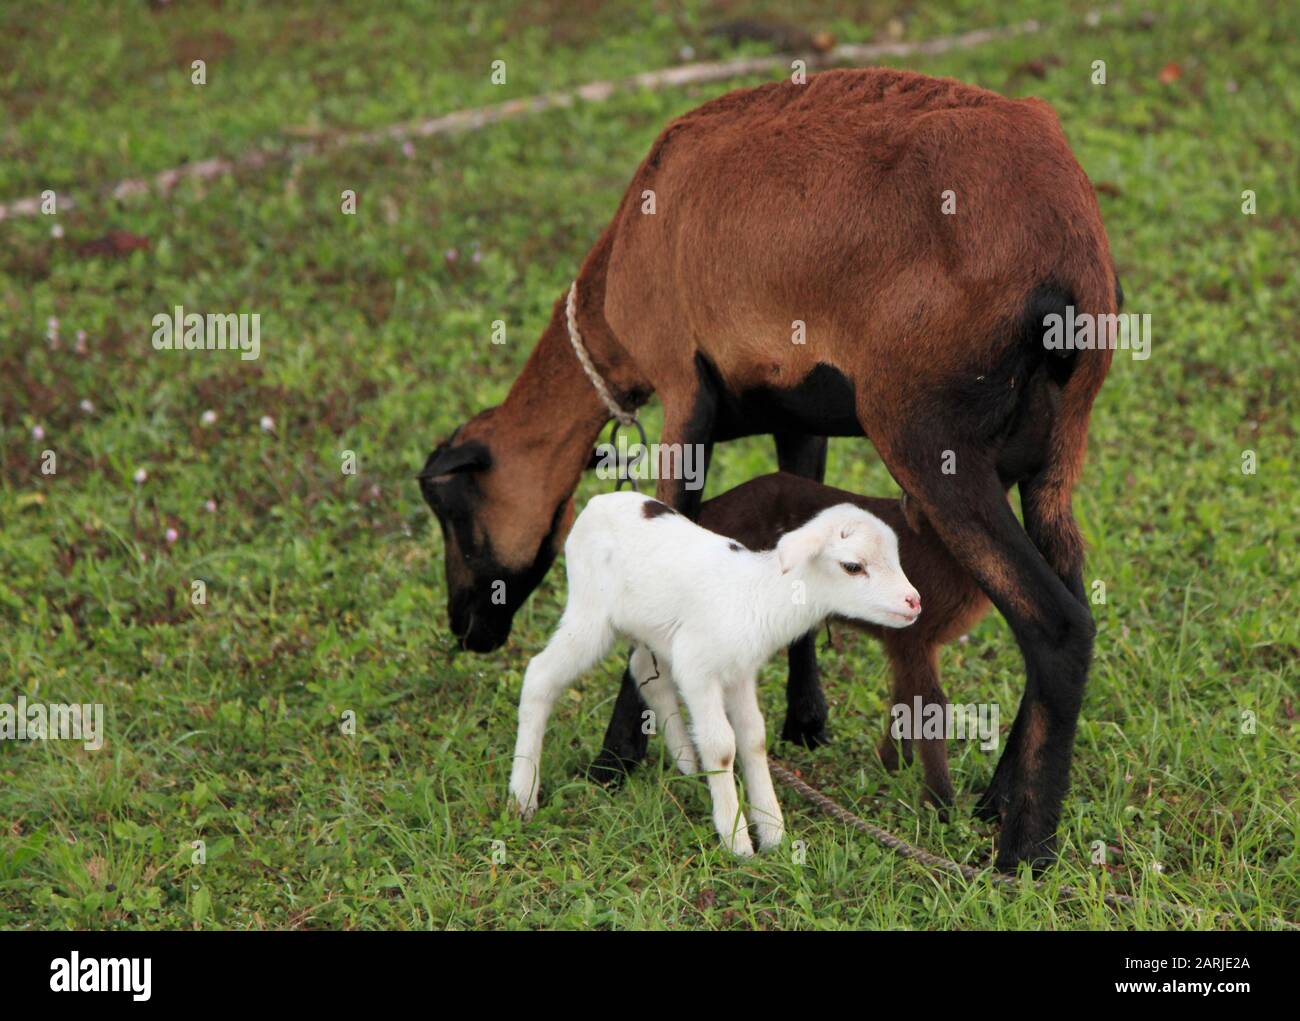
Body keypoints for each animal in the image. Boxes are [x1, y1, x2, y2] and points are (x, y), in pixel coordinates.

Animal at [508, 492, 921, 855]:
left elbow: (753, 738)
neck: (760, 596)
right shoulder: (699, 667)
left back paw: (689, 765)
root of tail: (597, 502)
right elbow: (722, 745)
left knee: (644, 671)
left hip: (655, 628)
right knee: (540, 675)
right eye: (852, 566)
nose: (914, 602)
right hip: (591, 611)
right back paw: (523, 793)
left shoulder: (739, 672)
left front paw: (773, 832)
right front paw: (737, 841)